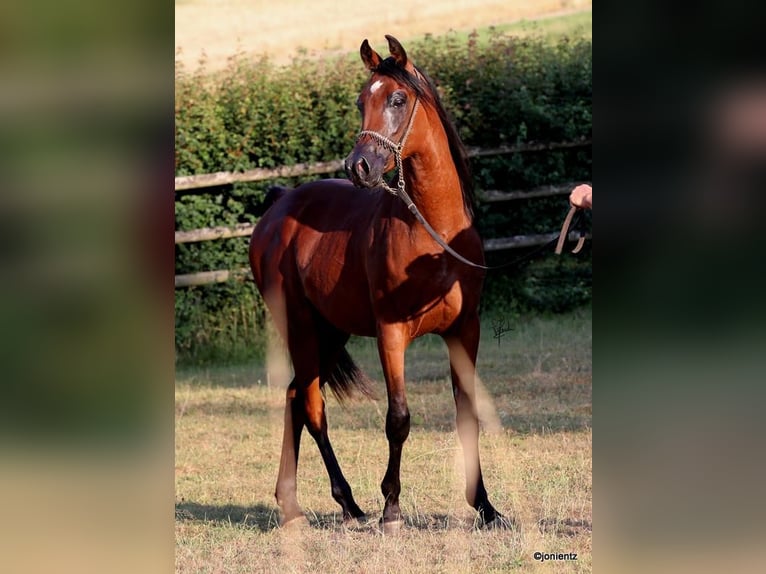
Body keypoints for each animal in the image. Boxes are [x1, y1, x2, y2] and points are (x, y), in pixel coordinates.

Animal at [249, 35, 507, 533]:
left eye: (397, 98)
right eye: (359, 101)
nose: (359, 166)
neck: (432, 231)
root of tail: (279, 205)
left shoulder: (465, 329)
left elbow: (467, 412)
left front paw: (485, 506)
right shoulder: (391, 333)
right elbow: (398, 418)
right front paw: (391, 509)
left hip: (331, 331)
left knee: (294, 395)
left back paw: (297, 504)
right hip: (301, 328)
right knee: (311, 405)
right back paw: (345, 504)